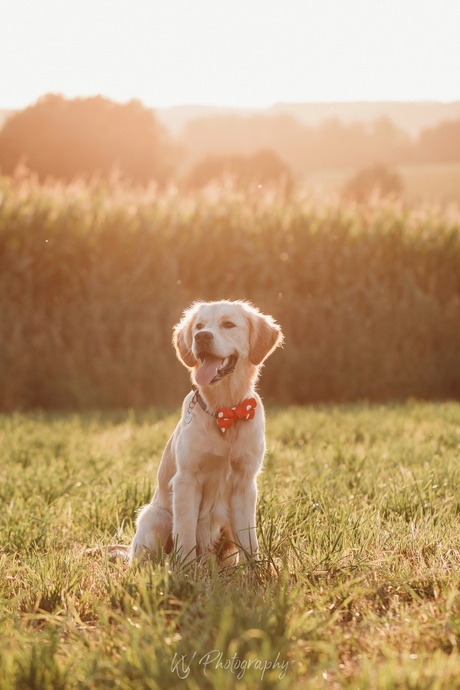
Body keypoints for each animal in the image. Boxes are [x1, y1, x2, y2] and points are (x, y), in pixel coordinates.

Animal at [129, 298, 284, 560]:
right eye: (199, 326)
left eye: (228, 324)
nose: (201, 337)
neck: (225, 411)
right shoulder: (186, 480)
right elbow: (185, 534)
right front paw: (185, 566)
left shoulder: (245, 483)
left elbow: (249, 540)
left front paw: (255, 568)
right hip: (155, 516)